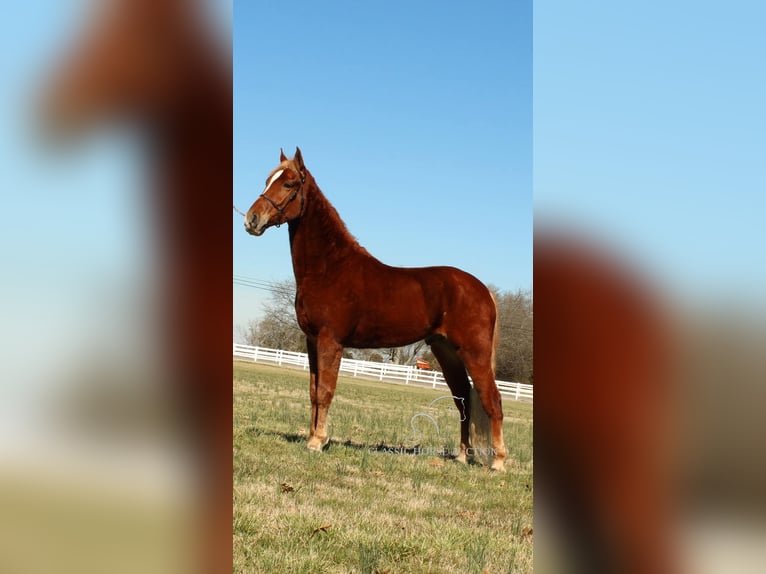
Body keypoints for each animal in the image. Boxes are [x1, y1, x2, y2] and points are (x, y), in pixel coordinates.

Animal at [248, 148, 510, 472]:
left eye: (289, 184)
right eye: (268, 180)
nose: (252, 219)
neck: (330, 268)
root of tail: (483, 290)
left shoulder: (330, 341)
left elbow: (325, 391)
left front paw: (317, 442)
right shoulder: (312, 341)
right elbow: (313, 391)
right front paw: (311, 437)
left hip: (475, 353)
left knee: (492, 400)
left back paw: (498, 461)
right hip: (446, 351)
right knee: (462, 399)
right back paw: (462, 456)